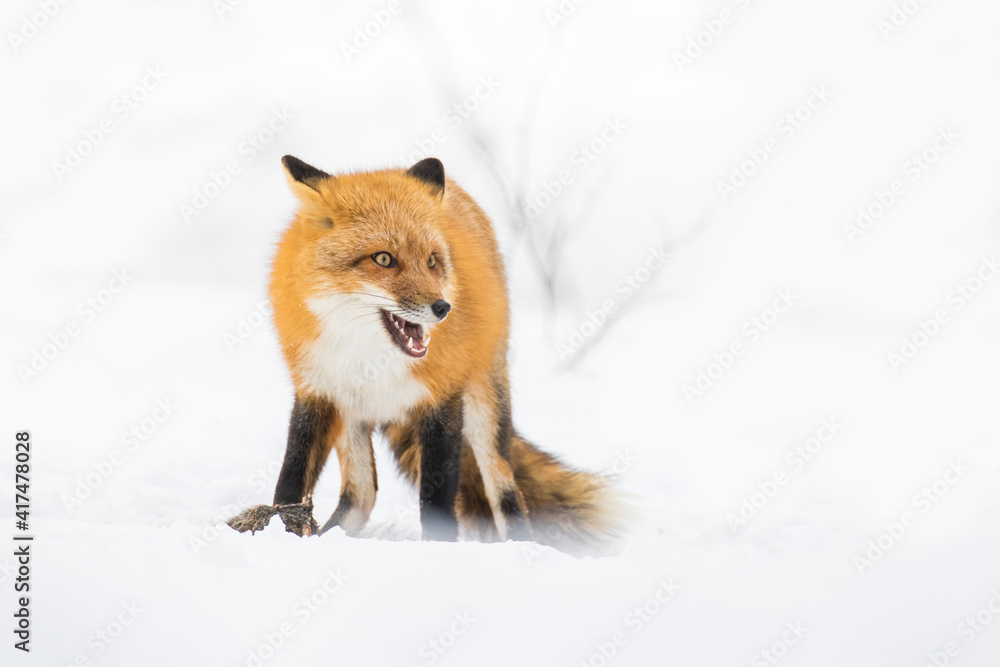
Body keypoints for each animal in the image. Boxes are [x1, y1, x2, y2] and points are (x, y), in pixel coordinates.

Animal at [232, 157, 624, 548]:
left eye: (432, 261)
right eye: (384, 259)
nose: (442, 307)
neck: (369, 359)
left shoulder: (442, 401)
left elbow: (437, 500)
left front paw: (438, 546)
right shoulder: (317, 392)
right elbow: (291, 479)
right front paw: (286, 528)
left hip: (485, 409)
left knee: (507, 494)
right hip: (351, 416)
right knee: (361, 494)